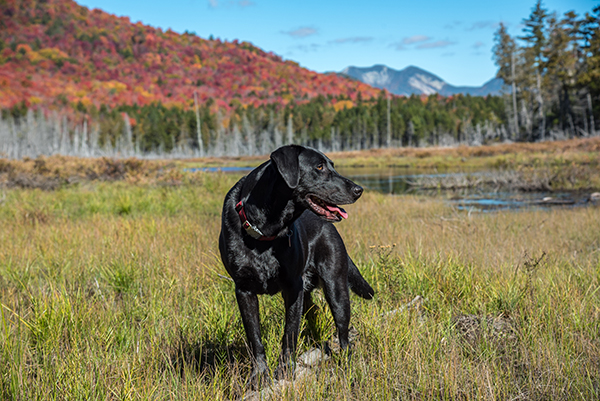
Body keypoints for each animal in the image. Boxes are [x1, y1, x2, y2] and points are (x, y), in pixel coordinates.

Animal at [218, 145, 372, 384]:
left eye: (332, 165)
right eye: (319, 167)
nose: (359, 190)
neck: (266, 230)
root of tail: (330, 228)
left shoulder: (292, 288)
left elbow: (290, 331)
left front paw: (285, 369)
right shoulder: (243, 290)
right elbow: (254, 337)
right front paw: (259, 375)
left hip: (336, 289)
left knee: (344, 334)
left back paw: (346, 367)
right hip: (308, 293)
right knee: (313, 312)